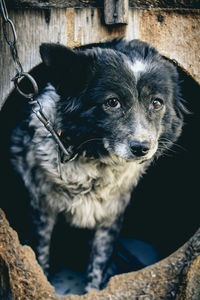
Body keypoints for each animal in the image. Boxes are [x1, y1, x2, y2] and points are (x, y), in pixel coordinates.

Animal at [10, 38, 186, 292]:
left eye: (156, 103)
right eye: (112, 102)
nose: (141, 147)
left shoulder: (110, 217)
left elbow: (97, 264)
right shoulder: (41, 210)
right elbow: (39, 256)